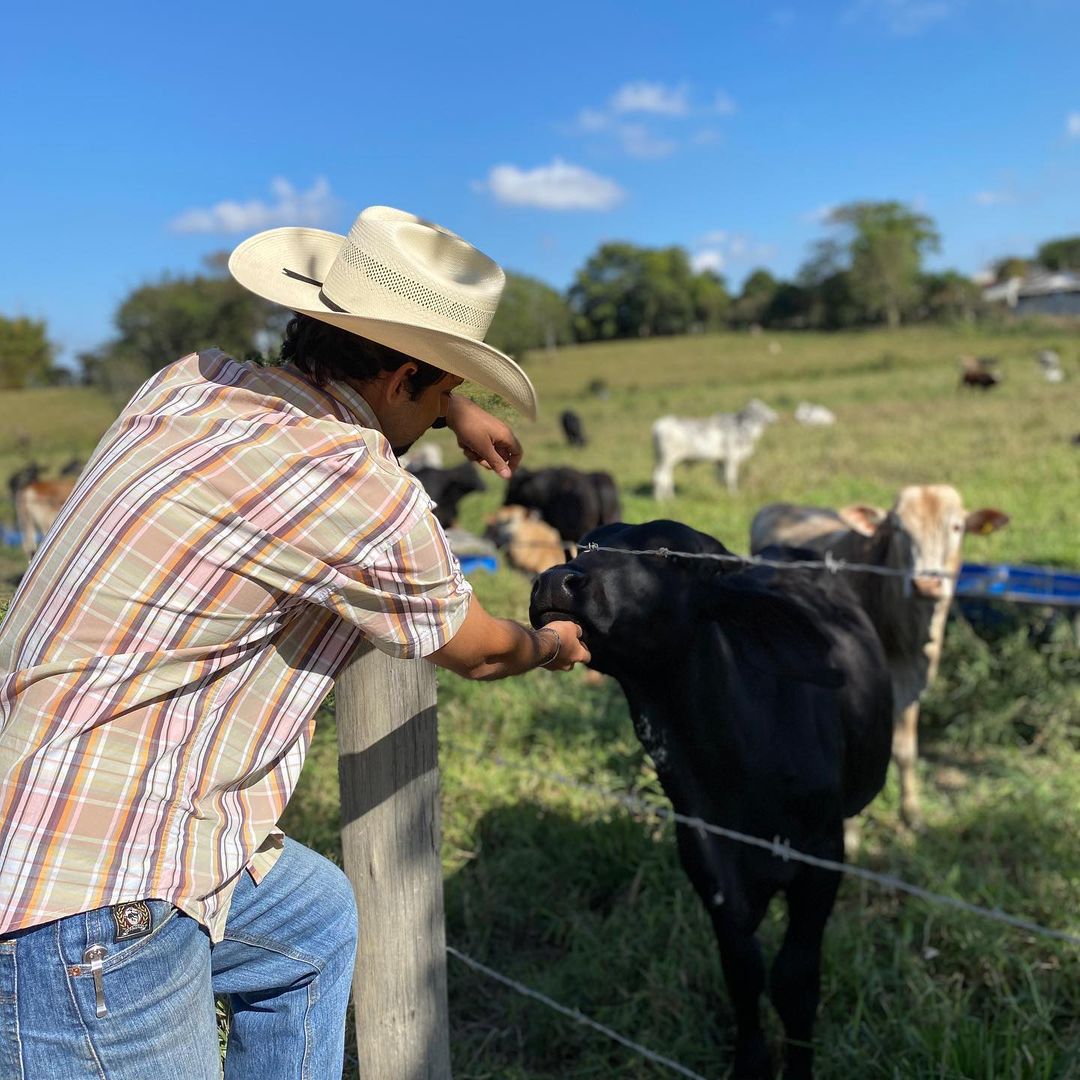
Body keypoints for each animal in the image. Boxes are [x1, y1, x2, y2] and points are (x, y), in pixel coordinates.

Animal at [527, 518, 889, 1075]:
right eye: (580, 548)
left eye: (671, 556)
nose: (554, 582)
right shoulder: (705, 856)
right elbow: (742, 971)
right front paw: (751, 1063)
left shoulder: (822, 858)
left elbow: (795, 980)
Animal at [648, 397, 777, 501]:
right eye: (760, 409)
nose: (775, 416)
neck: (741, 429)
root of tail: (658, 425)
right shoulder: (731, 458)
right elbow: (730, 477)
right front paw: (734, 494)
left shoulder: (720, 461)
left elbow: (720, 478)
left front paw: (722, 492)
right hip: (667, 458)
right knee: (660, 476)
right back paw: (660, 499)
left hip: (664, 459)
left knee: (666, 476)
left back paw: (669, 497)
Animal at [751, 486, 1010, 829]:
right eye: (899, 528)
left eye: (957, 527)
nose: (926, 583)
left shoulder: (910, 685)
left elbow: (905, 751)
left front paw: (912, 814)